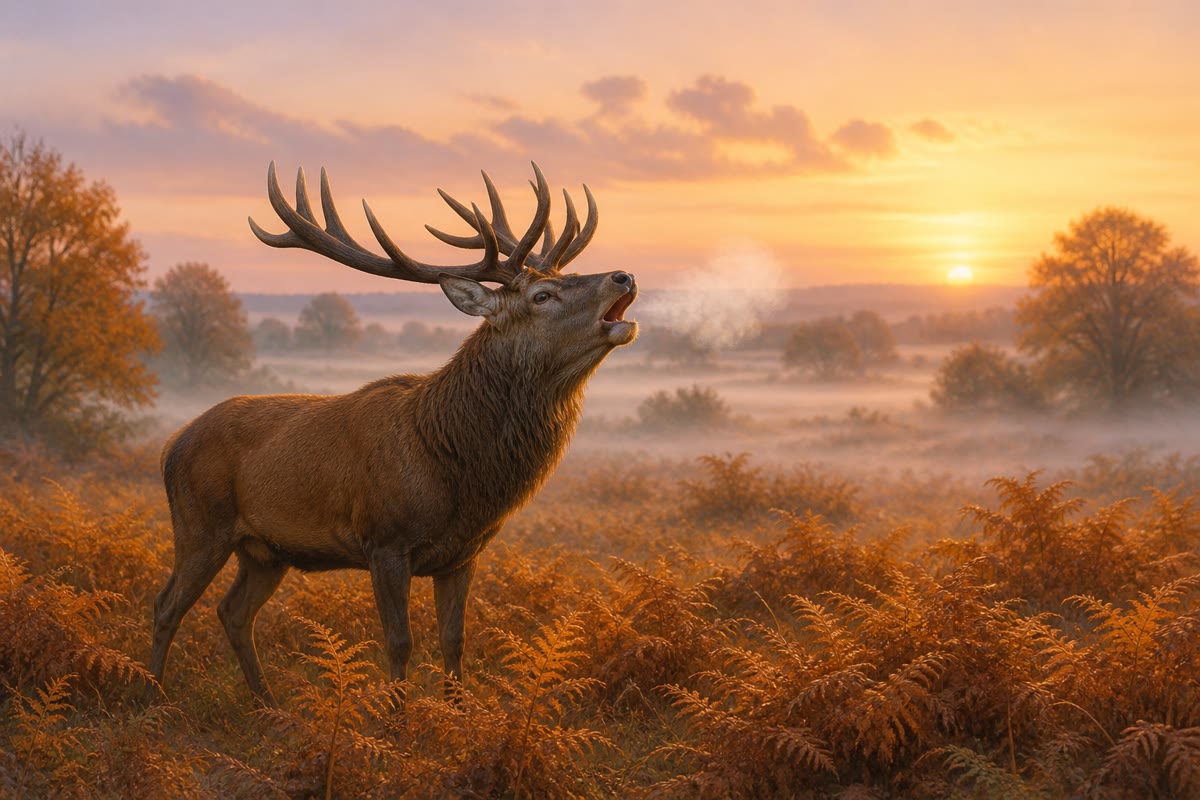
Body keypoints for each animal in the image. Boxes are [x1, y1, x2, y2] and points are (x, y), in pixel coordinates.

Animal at [145, 161, 637, 707]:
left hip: (265, 551)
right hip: (199, 525)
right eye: (542, 296)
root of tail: (171, 444)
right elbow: (400, 642)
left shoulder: (463, 555)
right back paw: (150, 696)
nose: (623, 275)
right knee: (166, 605)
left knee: (233, 612)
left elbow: (454, 639)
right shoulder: (384, 540)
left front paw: (456, 710)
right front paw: (398, 718)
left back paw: (267, 703)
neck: (457, 471)